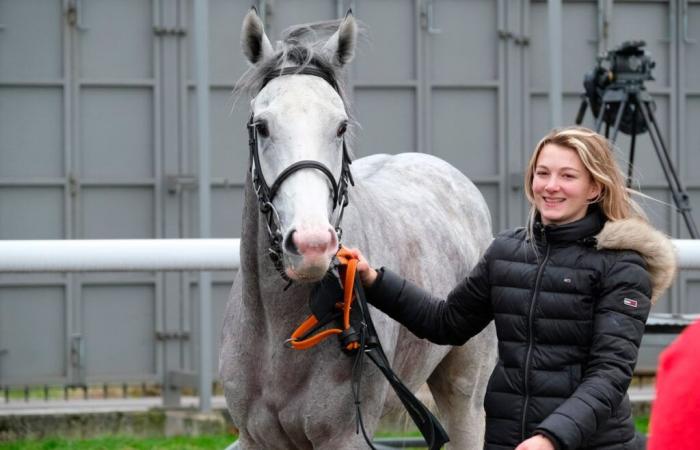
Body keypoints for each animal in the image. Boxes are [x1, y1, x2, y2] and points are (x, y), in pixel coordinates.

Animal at [219, 7, 498, 450]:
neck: (280, 332)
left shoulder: (344, 437)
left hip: (465, 395)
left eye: (340, 127)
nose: (312, 246)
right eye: (262, 126)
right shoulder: (255, 438)